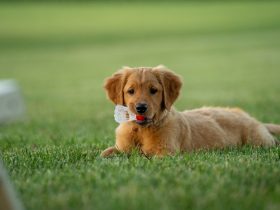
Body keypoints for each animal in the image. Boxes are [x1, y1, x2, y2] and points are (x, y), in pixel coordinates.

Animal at [100, 65, 280, 157]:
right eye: (131, 91)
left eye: (153, 90)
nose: (141, 108)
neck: (140, 130)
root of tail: (253, 119)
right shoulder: (121, 147)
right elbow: (106, 152)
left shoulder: (165, 152)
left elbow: (147, 156)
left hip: (257, 141)